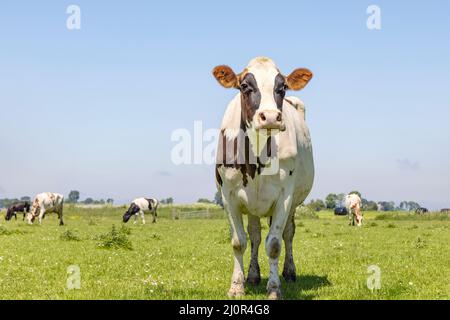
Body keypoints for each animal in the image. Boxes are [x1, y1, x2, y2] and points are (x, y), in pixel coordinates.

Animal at [213, 57, 314, 300]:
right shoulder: (228, 195)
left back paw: (289, 272)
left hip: (292, 203)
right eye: (244, 86)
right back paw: (252, 275)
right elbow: (239, 241)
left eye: (282, 87)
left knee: (288, 234)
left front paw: (274, 288)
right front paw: (237, 286)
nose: (270, 117)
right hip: (251, 205)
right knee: (255, 235)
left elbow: (275, 244)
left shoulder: (285, 197)